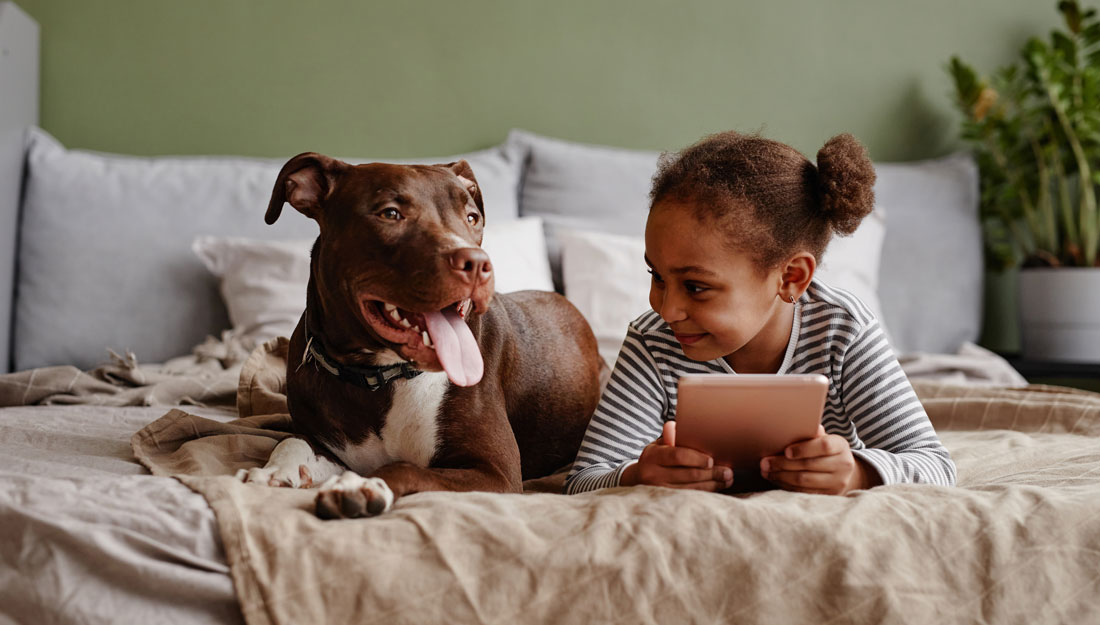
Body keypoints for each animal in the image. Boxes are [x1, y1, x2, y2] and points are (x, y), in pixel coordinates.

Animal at [235, 149, 607, 517]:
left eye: (472, 218)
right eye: (390, 213)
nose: (478, 263)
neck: (376, 377)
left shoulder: (495, 472)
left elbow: (405, 467)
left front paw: (362, 485)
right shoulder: (327, 444)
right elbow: (292, 441)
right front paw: (274, 471)